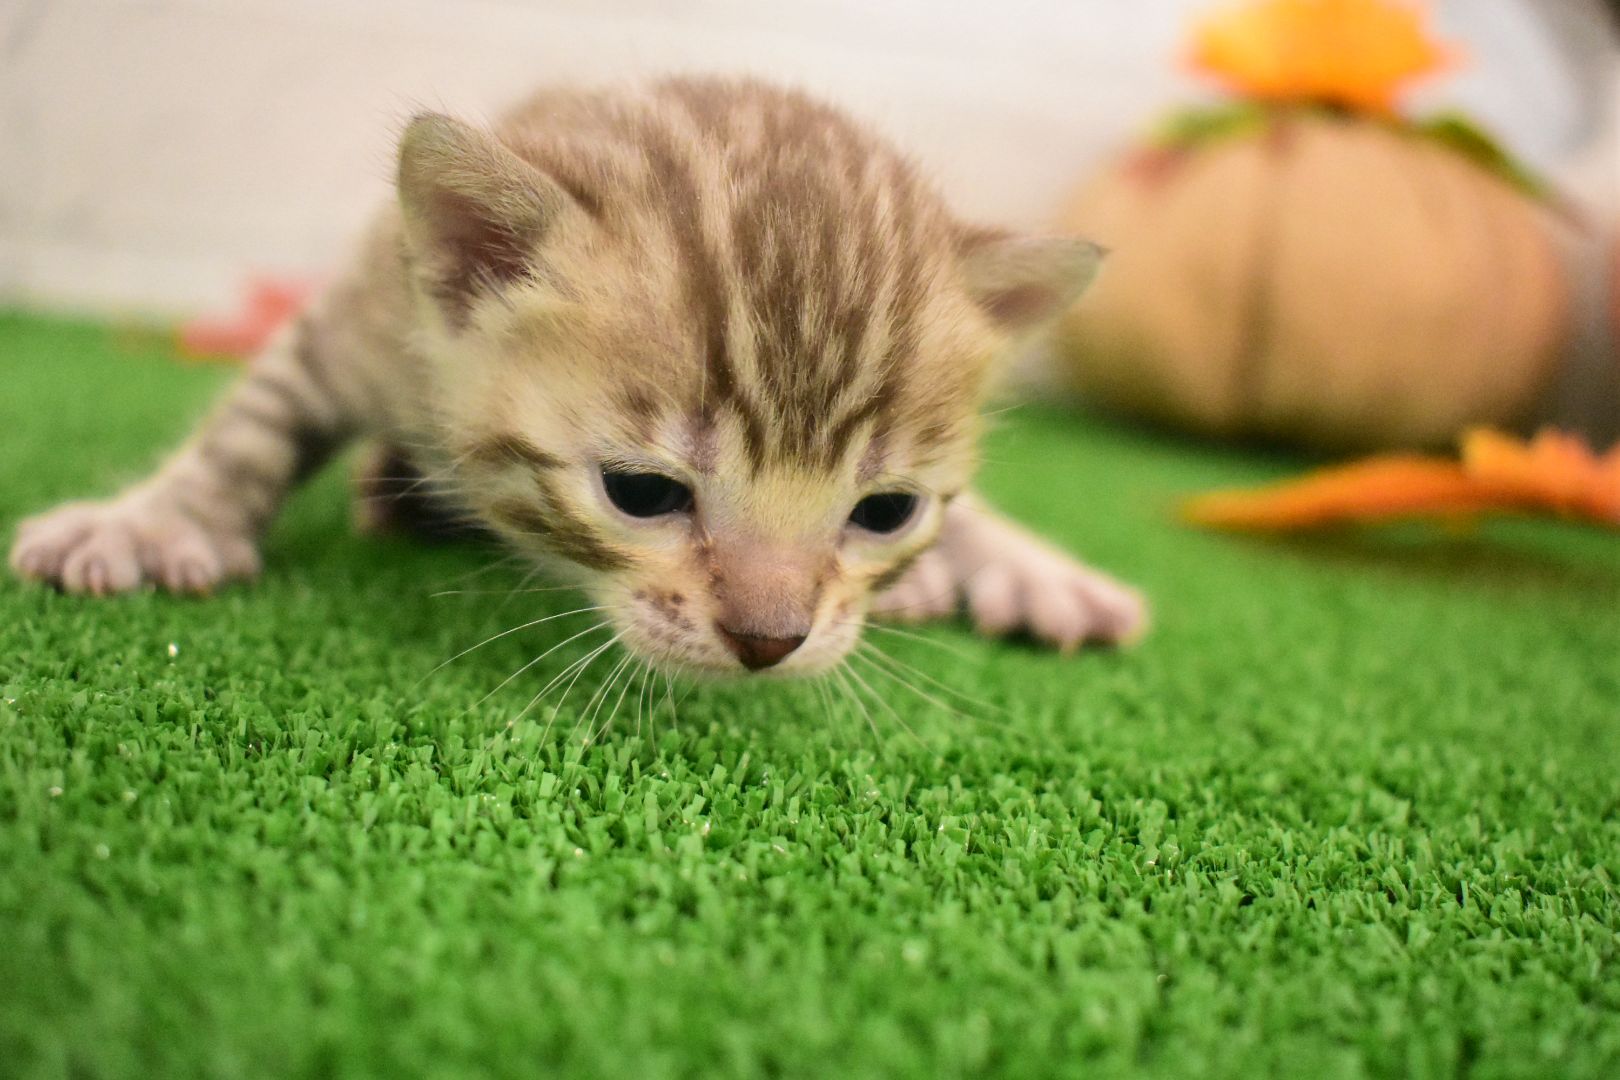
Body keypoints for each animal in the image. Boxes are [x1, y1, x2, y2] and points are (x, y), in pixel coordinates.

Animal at [10, 77, 1146, 676]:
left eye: (886, 512)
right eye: (640, 493)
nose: (768, 642)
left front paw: (1020, 563)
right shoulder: (372, 313)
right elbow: (252, 426)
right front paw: (155, 524)